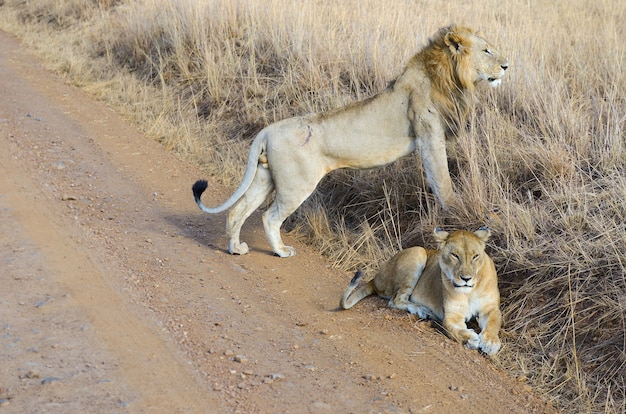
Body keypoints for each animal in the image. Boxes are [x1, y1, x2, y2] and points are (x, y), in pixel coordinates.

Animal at [191, 25, 508, 256]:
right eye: (486, 50)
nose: (507, 66)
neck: (448, 76)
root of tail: (266, 131)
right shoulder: (430, 136)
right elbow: (442, 180)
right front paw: (455, 213)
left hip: (265, 176)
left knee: (238, 210)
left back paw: (236, 248)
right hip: (297, 184)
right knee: (269, 217)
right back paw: (281, 251)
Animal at [338, 228, 500, 354]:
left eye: (475, 256)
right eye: (455, 255)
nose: (466, 278)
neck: (469, 291)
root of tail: (376, 278)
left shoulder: (490, 308)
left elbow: (494, 321)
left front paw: (490, 343)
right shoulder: (452, 314)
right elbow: (453, 329)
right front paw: (470, 339)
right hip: (418, 252)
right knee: (395, 300)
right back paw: (423, 311)